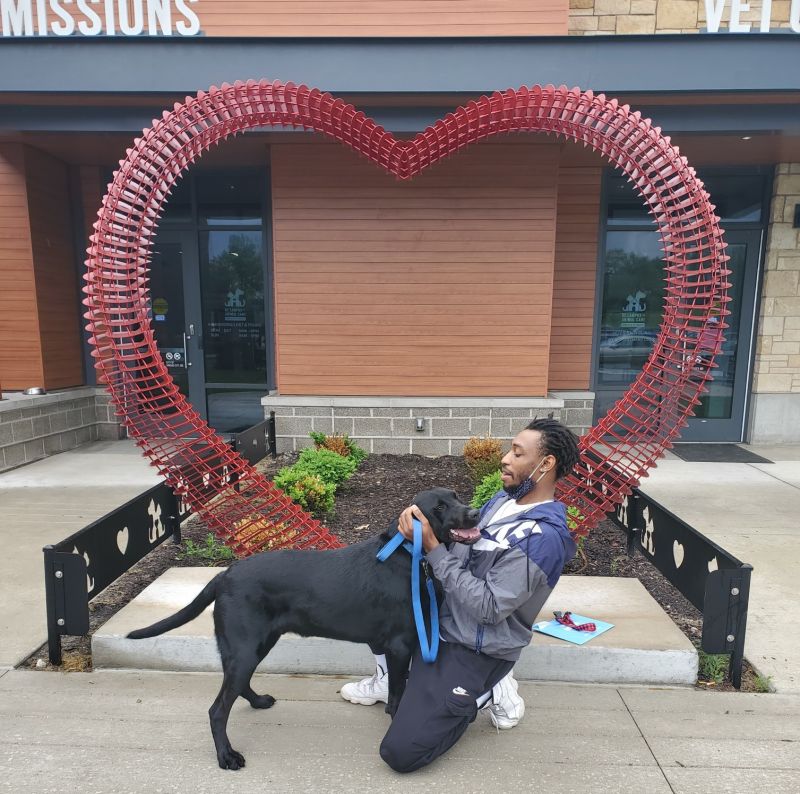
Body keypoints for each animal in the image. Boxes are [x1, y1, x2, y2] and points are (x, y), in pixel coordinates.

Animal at [124, 486, 476, 772]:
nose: (474, 512)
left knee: (237, 687)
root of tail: (225, 575)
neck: (410, 555)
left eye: (457, 496)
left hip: (254, 645)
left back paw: (257, 702)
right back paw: (227, 757)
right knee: (217, 710)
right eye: (438, 507)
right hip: (246, 647)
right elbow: (397, 694)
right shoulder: (400, 644)